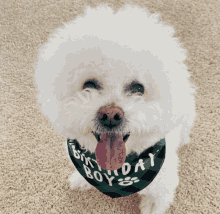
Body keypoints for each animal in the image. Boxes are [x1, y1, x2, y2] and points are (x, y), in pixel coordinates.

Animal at [34, 3, 196, 214]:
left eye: (138, 88)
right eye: (89, 84)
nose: (110, 115)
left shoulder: (163, 182)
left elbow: (157, 199)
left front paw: (152, 206)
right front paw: (80, 180)